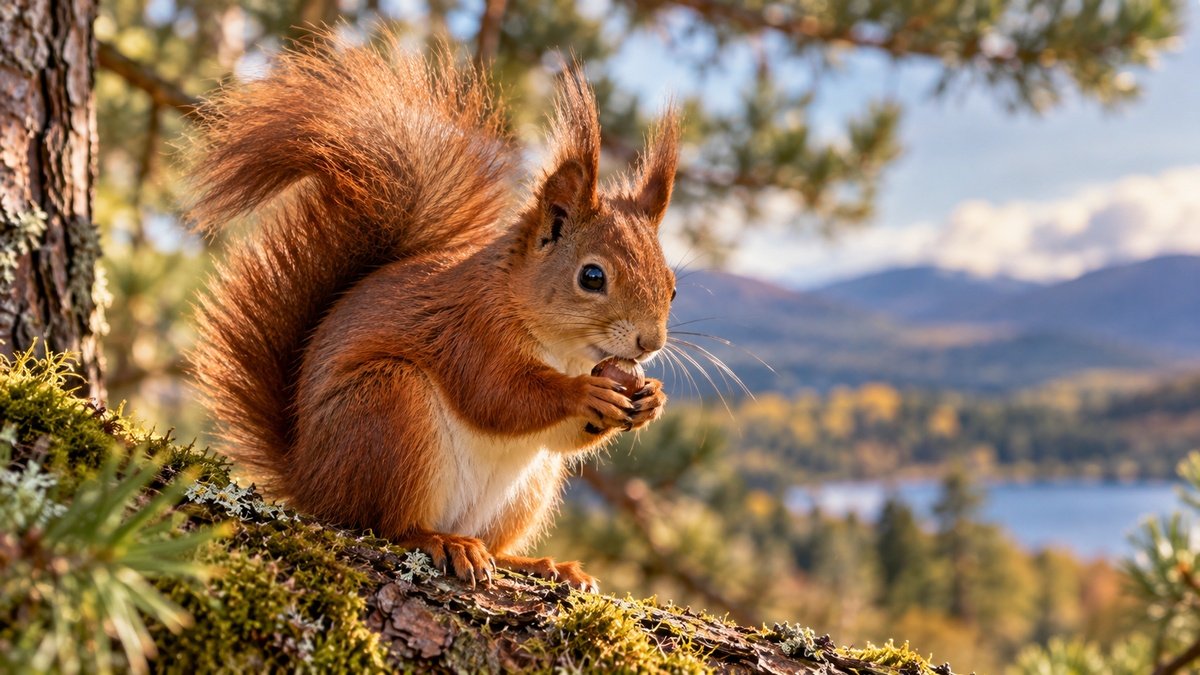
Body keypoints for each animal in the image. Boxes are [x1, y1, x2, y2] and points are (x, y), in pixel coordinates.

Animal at [188, 35, 679, 591]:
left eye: (673, 288)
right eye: (592, 277)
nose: (650, 344)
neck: (564, 350)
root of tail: (308, 480)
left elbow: (563, 434)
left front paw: (651, 399)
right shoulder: (470, 330)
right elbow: (498, 396)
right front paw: (582, 394)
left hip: (528, 486)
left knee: (495, 541)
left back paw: (539, 563)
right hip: (388, 409)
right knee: (385, 524)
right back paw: (440, 541)